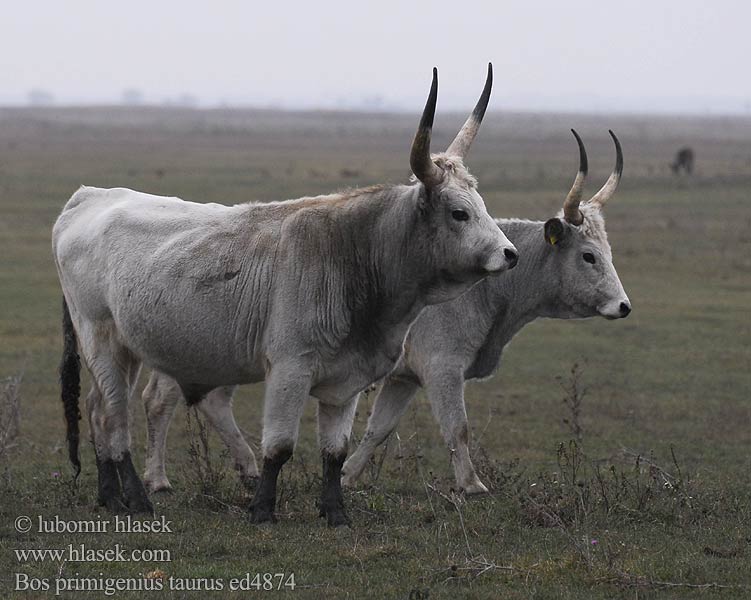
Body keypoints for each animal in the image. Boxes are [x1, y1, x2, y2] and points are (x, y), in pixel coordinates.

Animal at [55, 65, 520, 524]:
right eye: (459, 213)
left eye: (481, 204)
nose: (509, 254)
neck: (354, 252)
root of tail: (88, 198)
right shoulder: (289, 369)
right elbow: (278, 448)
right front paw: (262, 510)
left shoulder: (347, 380)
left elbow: (335, 452)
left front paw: (335, 512)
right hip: (102, 341)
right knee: (114, 416)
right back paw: (136, 498)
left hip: (126, 350)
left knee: (96, 410)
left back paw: (109, 496)